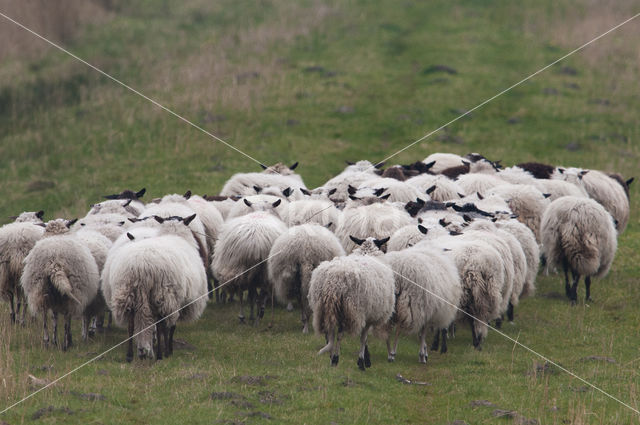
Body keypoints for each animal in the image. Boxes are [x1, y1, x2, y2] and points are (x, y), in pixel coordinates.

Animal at [102, 217, 208, 360]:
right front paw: (169, 350)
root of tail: (141, 265)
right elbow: (171, 326)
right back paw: (160, 355)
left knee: (131, 324)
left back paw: (131, 355)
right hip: (162, 294)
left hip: (128, 292)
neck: (174, 234)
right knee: (160, 324)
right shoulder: (176, 301)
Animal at [308, 235, 396, 368]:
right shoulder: (367, 315)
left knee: (329, 334)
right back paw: (335, 359)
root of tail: (333, 281)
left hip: (323, 308)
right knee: (339, 335)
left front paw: (365, 359)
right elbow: (364, 338)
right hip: (348, 309)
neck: (367, 253)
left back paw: (331, 356)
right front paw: (363, 361)